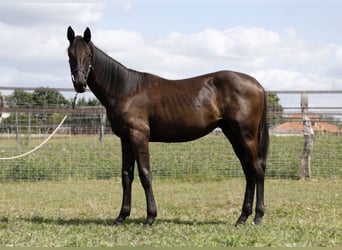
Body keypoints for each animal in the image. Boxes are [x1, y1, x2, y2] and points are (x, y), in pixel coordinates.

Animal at [67, 26, 270, 226]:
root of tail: (258, 85)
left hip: (246, 135)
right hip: (233, 134)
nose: (80, 84)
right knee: (248, 171)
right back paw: (242, 217)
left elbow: (145, 174)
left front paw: (150, 217)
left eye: (89, 54)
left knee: (257, 170)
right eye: (69, 54)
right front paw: (121, 217)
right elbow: (126, 176)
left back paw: (258, 217)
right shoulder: (126, 139)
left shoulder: (139, 136)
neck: (126, 91)